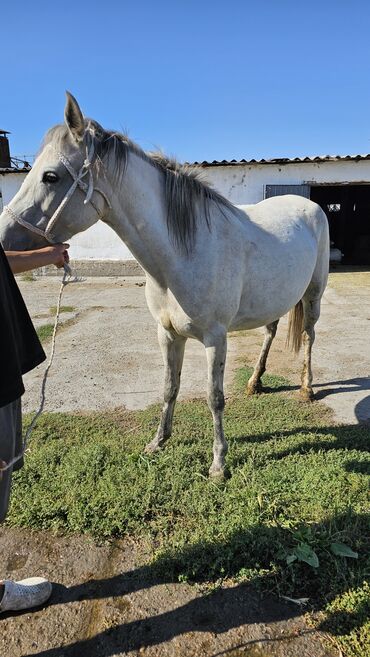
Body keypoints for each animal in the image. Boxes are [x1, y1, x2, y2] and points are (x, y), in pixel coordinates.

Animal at [0, 93, 330, 476]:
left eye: (50, 176)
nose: (3, 237)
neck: (183, 253)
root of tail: (306, 202)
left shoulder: (215, 338)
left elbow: (214, 397)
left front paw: (218, 464)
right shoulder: (167, 333)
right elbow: (169, 387)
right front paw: (158, 442)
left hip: (313, 296)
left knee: (308, 335)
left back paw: (307, 388)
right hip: (274, 299)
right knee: (270, 332)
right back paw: (255, 382)